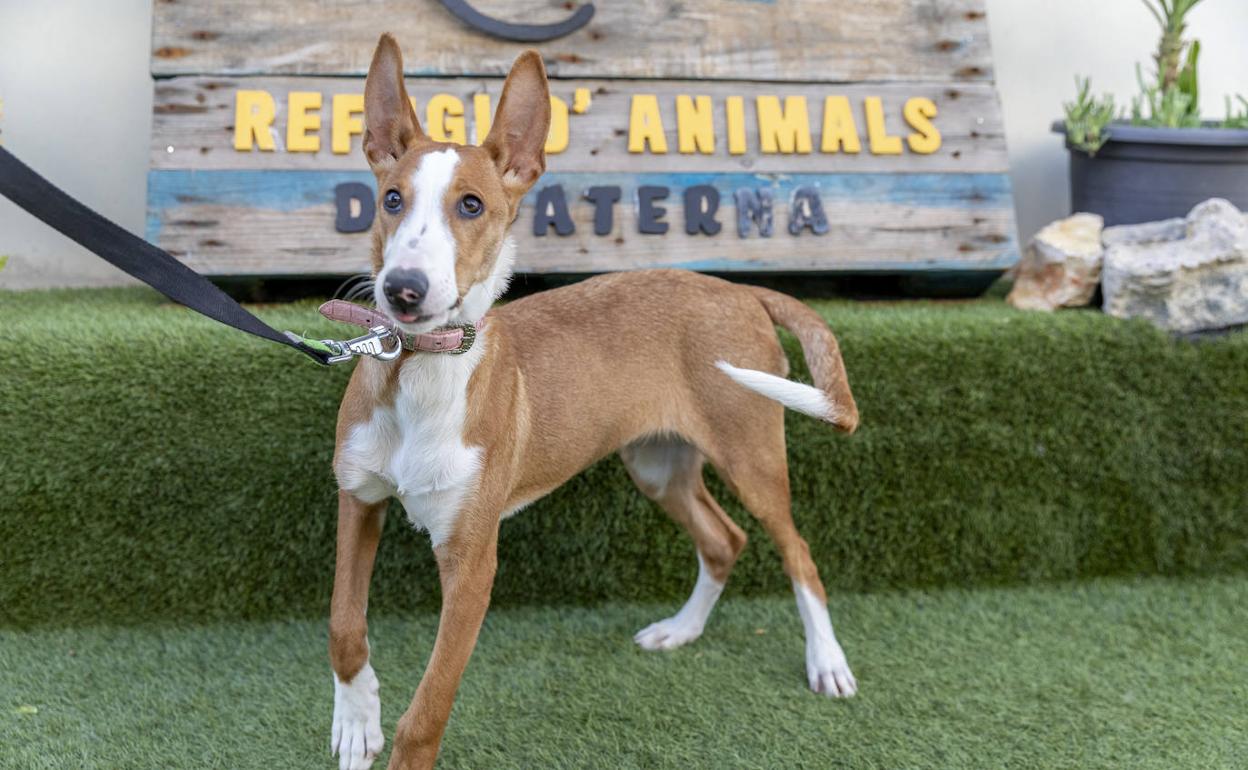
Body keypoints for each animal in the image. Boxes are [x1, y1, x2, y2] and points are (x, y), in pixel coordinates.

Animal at [326, 33, 863, 763]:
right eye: (390, 199)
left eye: (471, 206)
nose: (403, 290)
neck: (417, 371)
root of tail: (738, 288)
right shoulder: (359, 499)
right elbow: (343, 625)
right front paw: (356, 721)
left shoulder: (472, 561)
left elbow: (427, 712)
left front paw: (390, 737)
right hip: (658, 463)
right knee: (724, 540)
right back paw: (680, 630)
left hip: (751, 458)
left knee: (798, 552)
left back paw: (827, 662)